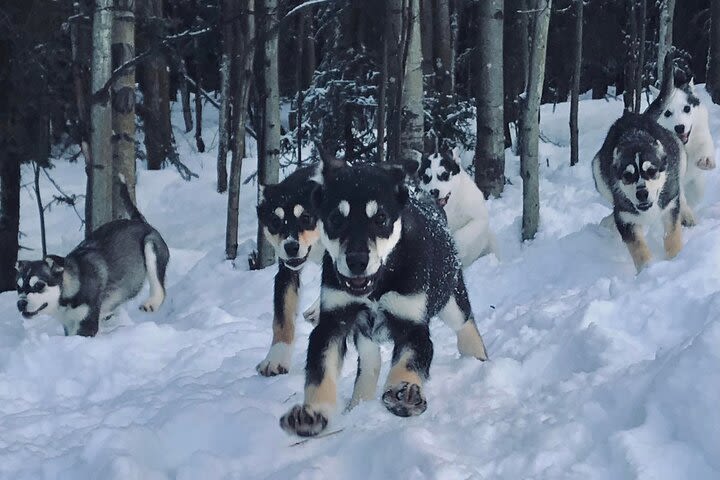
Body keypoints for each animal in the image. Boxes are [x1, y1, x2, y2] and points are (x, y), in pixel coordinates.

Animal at [17, 174, 170, 336]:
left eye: (39, 285)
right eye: (18, 287)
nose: (21, 303)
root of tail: (139, 221)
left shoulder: (87, 322)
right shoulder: (69, 324)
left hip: (150, 246)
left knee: (159, 287)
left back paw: (151, 303)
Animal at [253, 164, 320, 376]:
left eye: (306, 217)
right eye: (275, 220)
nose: (291, 247)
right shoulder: (286, 272)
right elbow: (281, 319)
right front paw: (275, 360)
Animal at [278, 158, 490, 438]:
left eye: (380, 218)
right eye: (335, 219)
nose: (357, 261)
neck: (377, 285)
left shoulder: (413, 325)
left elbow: (408, 362)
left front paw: (404, 393)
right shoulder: (333, 322)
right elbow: (320, 371)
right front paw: (312, 413)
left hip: (451, 297)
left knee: (466, 323)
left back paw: (477, 358)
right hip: (365, 334)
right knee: (370, 362)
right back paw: (358, 403)